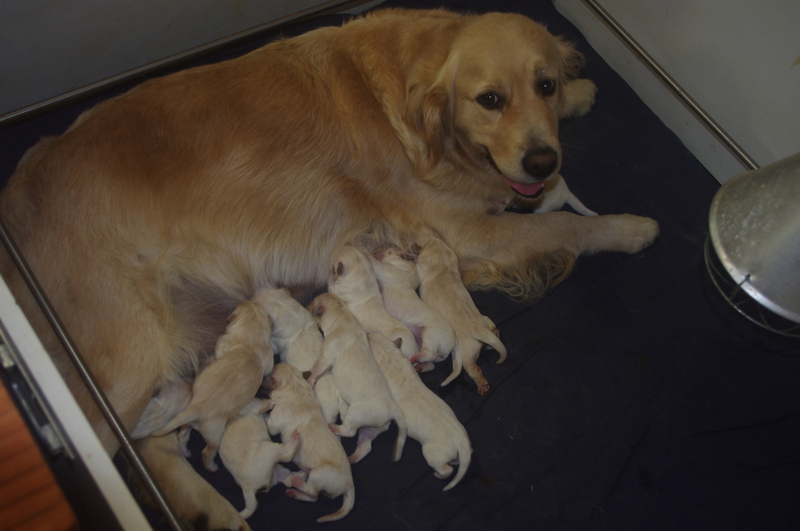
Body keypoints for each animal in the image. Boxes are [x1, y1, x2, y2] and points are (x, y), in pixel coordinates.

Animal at [151, 300, 275, 471]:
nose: (250, 300)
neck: (248, 342)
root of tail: (196, 408)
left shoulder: (223, 344)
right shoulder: (269, 358)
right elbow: (268, 371)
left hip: (188, 423)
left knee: (182, 435)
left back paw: (185, 451)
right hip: (215, 436)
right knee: (206, 453)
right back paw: (212, 467)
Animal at [263, 362, 355, 523]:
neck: (295, 384)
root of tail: (350, 485)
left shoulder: (273, 424)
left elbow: (268, 419)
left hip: (319, 473)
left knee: (313, 491)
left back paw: (297, 482)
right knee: (314, 497)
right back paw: (296, 489)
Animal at [308, 293, 408, 464]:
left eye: (312, 303)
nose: (305, 306)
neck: (342, 314)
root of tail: (392, 407)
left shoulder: (326, 357)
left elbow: (316, 369)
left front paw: (309, 381)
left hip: (356, 414)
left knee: (350, 431)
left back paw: (332, 427)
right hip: (372, 428)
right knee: (365, 445)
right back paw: (351, 459)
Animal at [368, 333, 472, 490]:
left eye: (367, 340)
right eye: (379, 335)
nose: (368, 333)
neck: (389, 357)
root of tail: (462, 443)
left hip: (432, 452)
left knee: (446, 469)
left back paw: (439, 474)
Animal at [415, 231, 507, 395]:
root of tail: (479, 330)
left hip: (466, 354)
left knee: (474, 369)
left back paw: (483, 386)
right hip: (486, 321)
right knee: (495, 330)